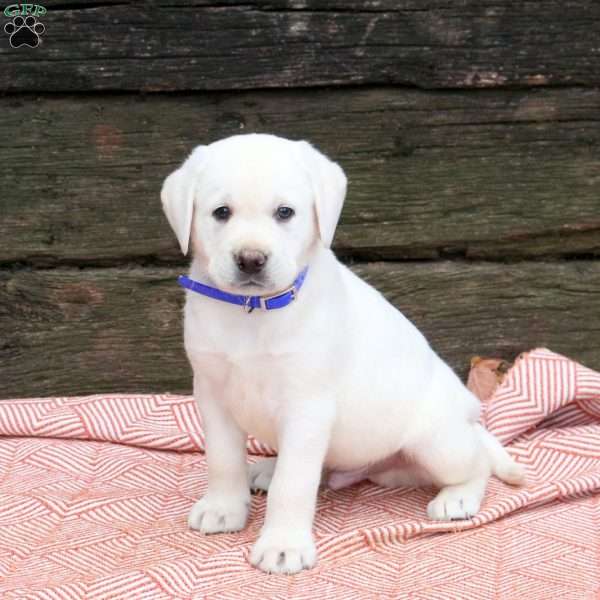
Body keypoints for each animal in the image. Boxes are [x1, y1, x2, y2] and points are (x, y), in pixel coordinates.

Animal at [161, 134, 524, 576]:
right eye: (221, 212)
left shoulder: (307, 406)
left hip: (439, 443)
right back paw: (266, 469)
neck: (252, 311)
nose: (251, 260)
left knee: (478, 463)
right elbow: (223, 459)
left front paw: (283, 545)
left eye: (285, 212)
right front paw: (223, 508)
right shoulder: (213, 394)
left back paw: (458, 498)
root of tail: (468, 416)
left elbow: (293, 483)